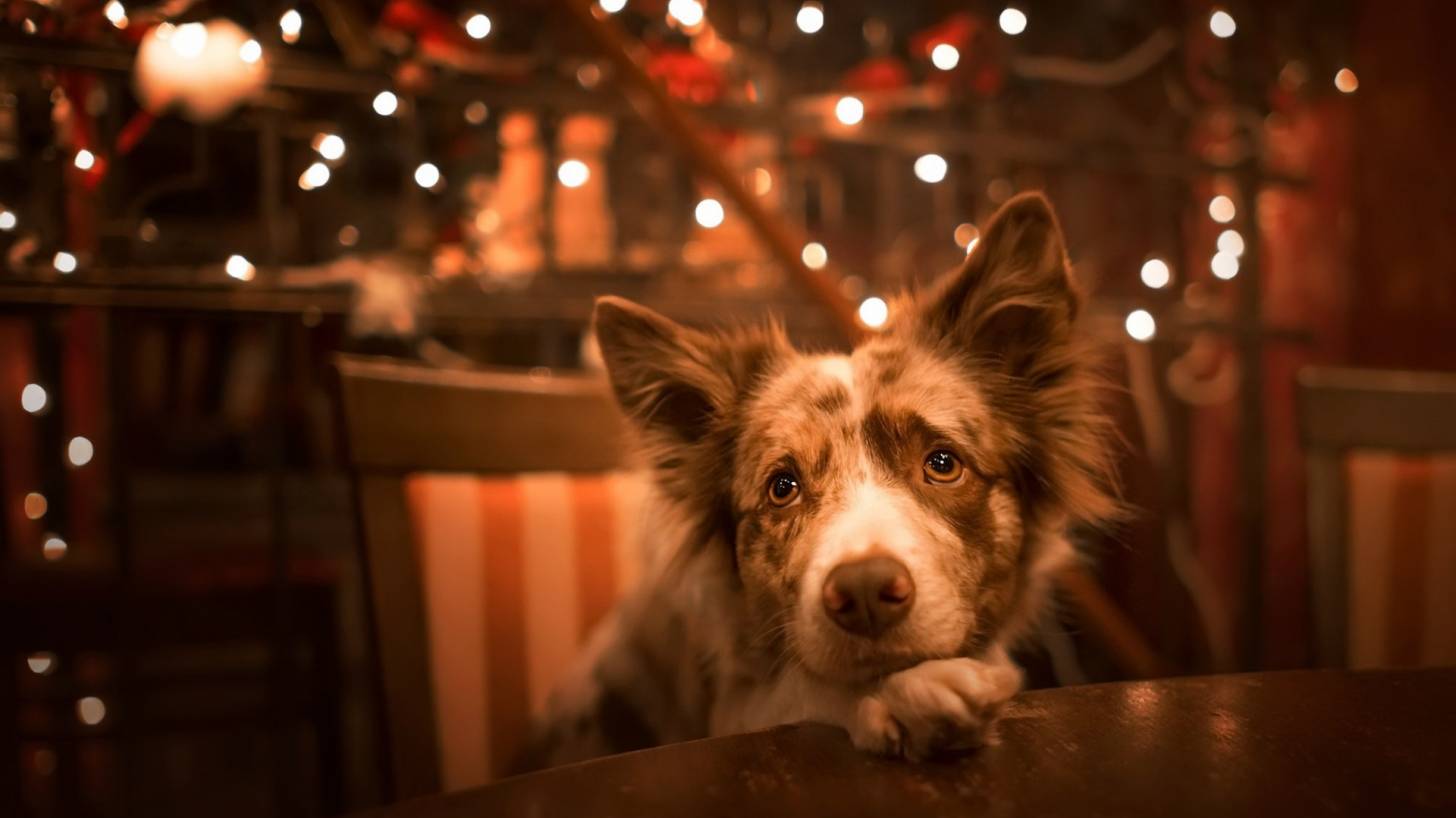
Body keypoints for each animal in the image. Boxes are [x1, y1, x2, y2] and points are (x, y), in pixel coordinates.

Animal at [518, 192, 1118, 768]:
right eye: (782, 487)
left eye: (943, 463)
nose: (866, 592)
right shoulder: (739, 700)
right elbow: (803, 686)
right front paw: (900, 696)